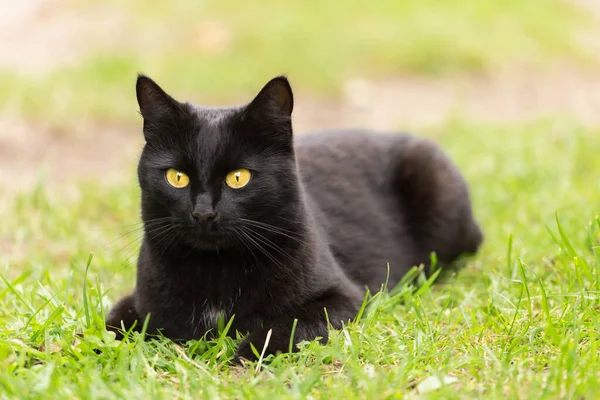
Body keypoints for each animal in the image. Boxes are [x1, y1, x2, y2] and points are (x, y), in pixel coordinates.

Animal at [106, 74, 482, 360]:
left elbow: (290, 324)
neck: (217, 269)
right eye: (177, 177)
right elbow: (111, 322)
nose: (203, 212)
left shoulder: (345, 297)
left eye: (239, 177)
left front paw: (249, 350)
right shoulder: (141, 301)